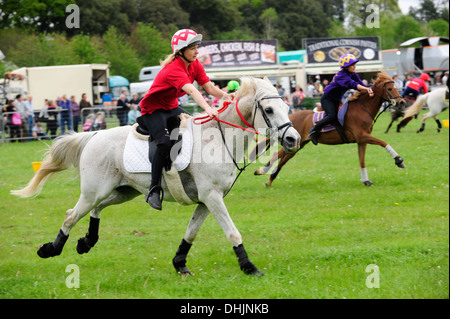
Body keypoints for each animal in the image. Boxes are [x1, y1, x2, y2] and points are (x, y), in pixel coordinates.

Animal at [10, 77, 300, 278]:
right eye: (269, 110)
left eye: (286, 106)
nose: (293, 139)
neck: (219, 139)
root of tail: (94, 135)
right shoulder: (213, 198)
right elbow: (232, 233)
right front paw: (249, 267)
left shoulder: (207, 201)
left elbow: (190, 233)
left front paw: (179, 264)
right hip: (94, 190)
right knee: (72, 215)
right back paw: (51, 249)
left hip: (124, 191)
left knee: (97, 209)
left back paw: (87, 241)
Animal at [253, 72, 408, 188]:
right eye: (389, 89)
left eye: (395, 87)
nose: (402, 102)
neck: (362, 109)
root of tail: (289, 117)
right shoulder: (362, 136)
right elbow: (383, 142)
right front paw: (399, 160)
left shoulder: (361, 140)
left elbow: (362, 160)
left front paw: (366, 180)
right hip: (294, 143)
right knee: (277, 156)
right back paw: (263, 172)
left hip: (297, 144)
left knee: (281, 159)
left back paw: (267, 177)